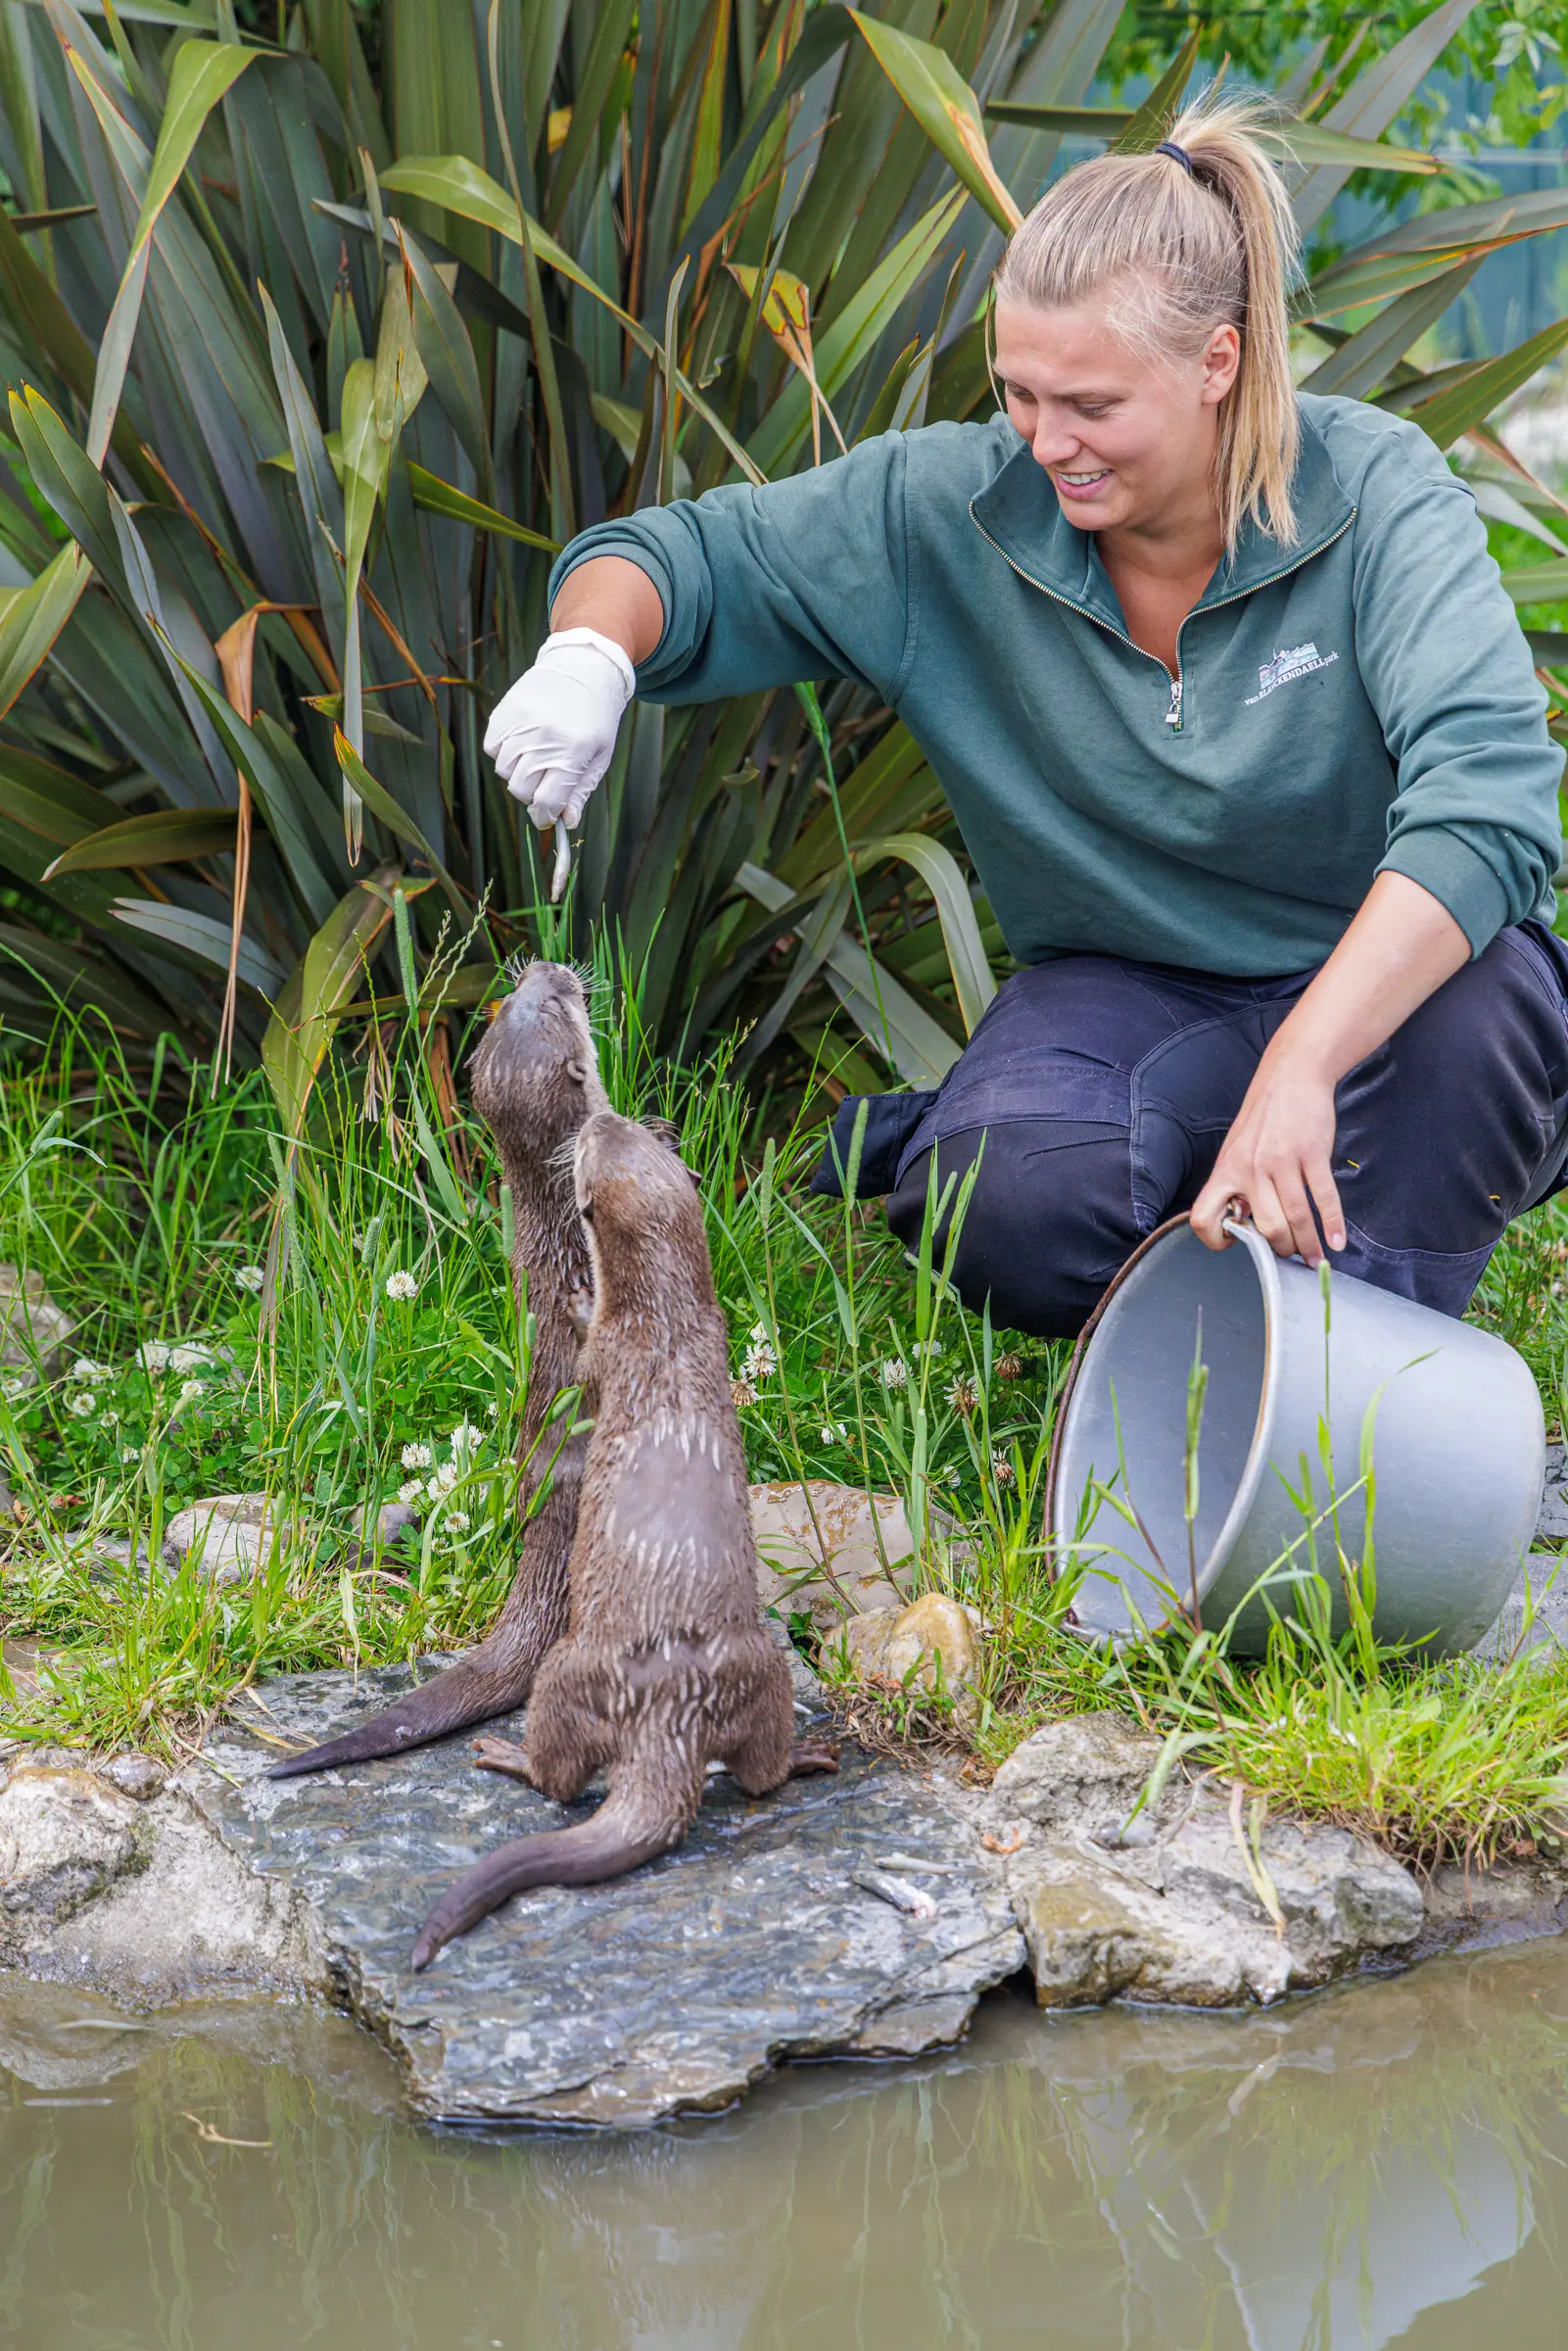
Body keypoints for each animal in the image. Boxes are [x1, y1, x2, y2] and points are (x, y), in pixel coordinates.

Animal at [410, 1108, 839, 1971]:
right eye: (629, 1133)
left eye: (590, 1154)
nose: (603, 1115)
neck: (667, 1325)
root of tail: (668, 1713)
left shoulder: (607, 1351)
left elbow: (580, 1357)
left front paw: (574, 1298)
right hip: (763, 1669)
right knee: (759, 1773)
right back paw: (805, 1757)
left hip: (568, 1671)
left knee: (561, 1777)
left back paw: (512, 1758)